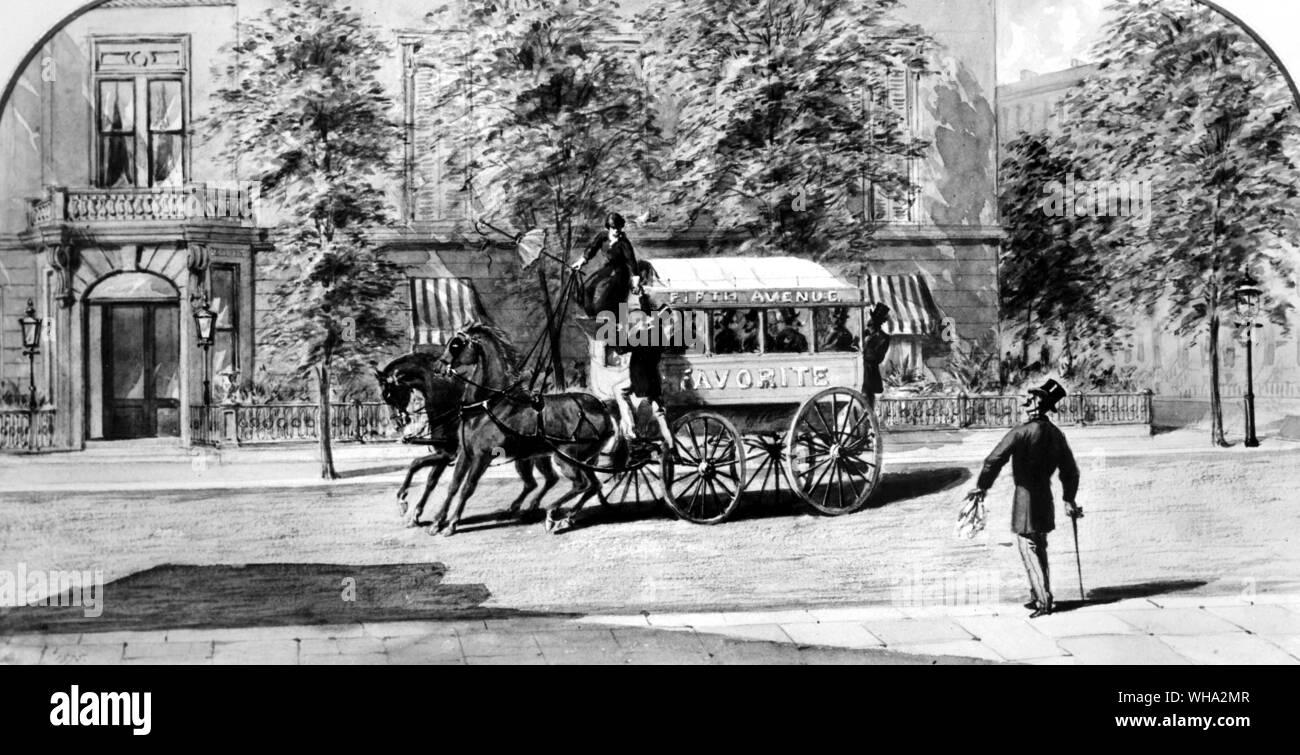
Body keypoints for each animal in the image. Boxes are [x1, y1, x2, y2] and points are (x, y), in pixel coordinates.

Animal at [371, 353, 564, 530]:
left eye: (389, 394)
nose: (397, 423)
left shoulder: (448, 453)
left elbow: (416, 464)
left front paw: (403, 500)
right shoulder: (444, 454)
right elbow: (430, 479)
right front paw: (416, 514)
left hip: (534, 458)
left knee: (546, 480)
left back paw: (529, 508)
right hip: (527, 459)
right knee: (537, 481)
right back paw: (517, 509)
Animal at [431, 320, 624, 532]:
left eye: (456, 344)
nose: (437, 367)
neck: (487, 406)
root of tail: (602, 405)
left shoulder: (483, 456)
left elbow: (468, 487)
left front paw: (452, 523)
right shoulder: (466, 453)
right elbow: (454, 485)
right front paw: (438, 520)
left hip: (566, 459)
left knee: (581, 484)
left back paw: (551, 512)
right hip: (573, 459)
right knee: (590, 485)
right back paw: (561, 515)